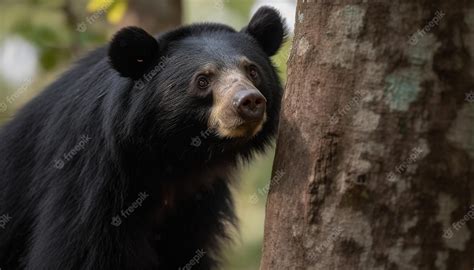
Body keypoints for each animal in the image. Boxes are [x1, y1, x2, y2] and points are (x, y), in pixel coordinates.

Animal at [0, 6, 286, 270]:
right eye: (203, 80)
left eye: (252, 70)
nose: (249, 101)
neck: (174, 156)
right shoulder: (91, 180)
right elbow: (77, 254)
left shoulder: (198, 201)